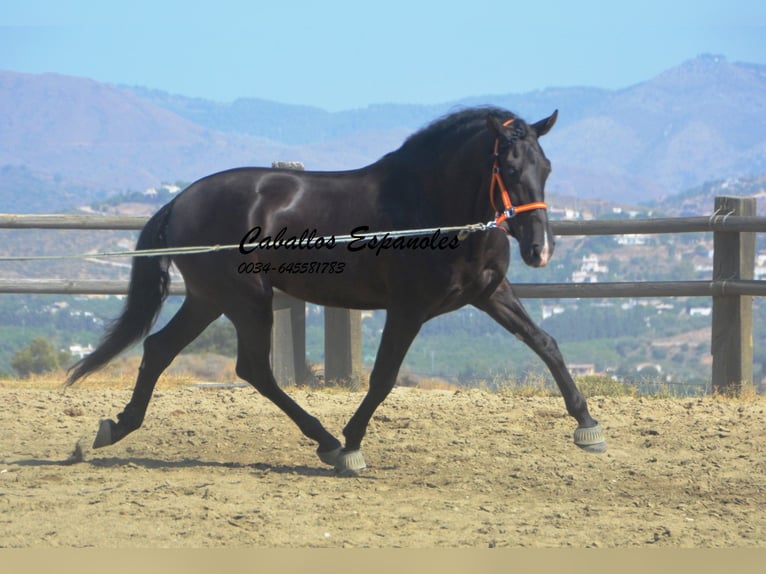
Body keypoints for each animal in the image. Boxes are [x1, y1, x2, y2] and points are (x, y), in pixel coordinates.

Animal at [67, 107, 608, 472]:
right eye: (510, 169)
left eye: (547, 168)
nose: (540, 249)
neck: (430, 206)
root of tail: (180, 200)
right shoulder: (408, 310)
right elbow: (383, 378)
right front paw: (351, 445)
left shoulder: (491, 293)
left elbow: (546, 344)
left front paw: (587, 426)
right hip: (246, 300)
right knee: (252, 369)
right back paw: (326, 442)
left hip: (208, 299)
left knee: (160, 349)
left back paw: (116, 427)